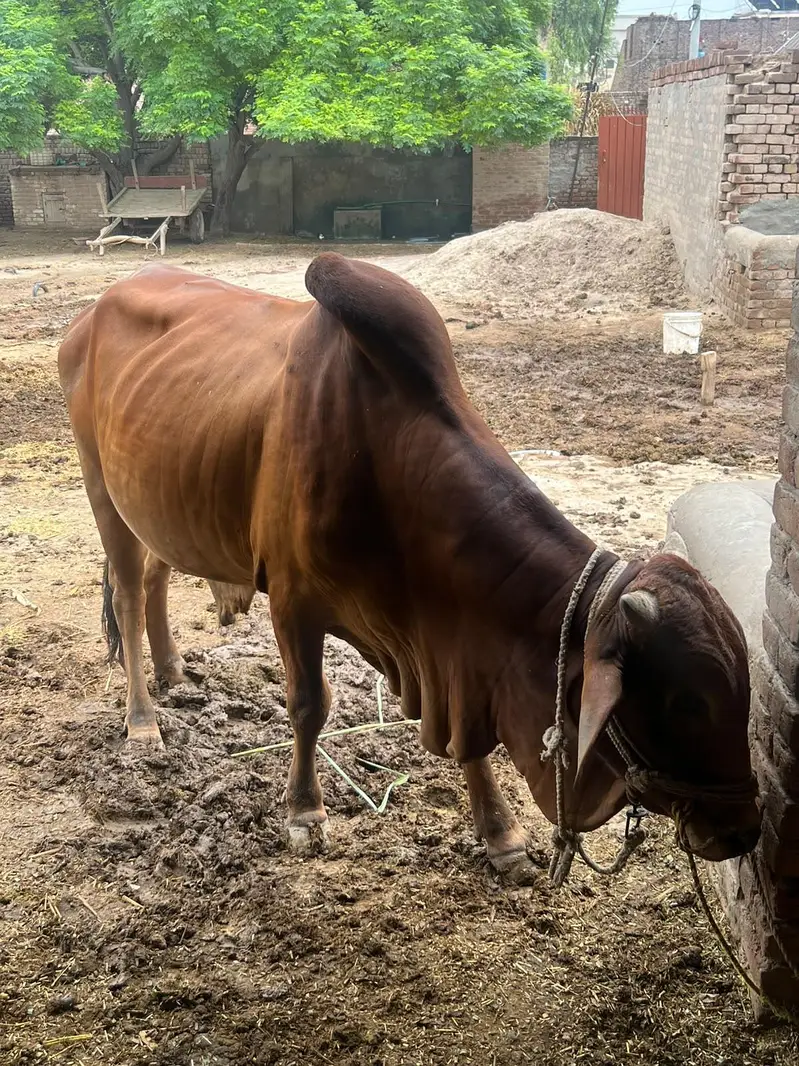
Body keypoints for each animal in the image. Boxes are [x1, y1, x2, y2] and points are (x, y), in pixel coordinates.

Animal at [58, 256, 761, 877]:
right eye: (686, 704)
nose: (744, 829)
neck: (384, 458)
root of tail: (90, 313)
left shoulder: (450, 648)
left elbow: (465, 739)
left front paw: (501, 836)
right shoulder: (292, 601)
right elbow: (308, 705)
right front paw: (304, 814)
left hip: (158, 500)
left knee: (155, 576)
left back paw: (175, 673)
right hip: (100, 485)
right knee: (127, 594)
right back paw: (143, 722)